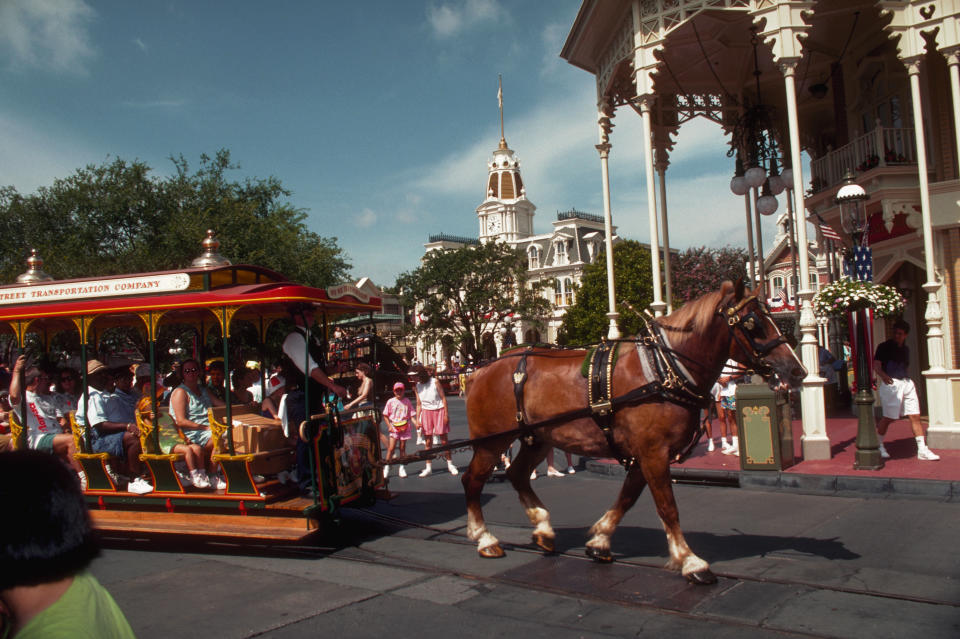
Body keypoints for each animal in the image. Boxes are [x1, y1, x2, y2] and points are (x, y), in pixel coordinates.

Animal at [462, 280, 808, 584]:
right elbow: (667, 507)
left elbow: (627, 498)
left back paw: (543, 530)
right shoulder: (653, 452)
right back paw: (485, 539)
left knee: (517, 474)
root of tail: (482, 368)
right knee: (473, 480)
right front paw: (691, 562)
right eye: (753, 324)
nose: (797, 370)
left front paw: (599, 541)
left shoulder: (645, 454)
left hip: (538, 439)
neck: (664, 369)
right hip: (492, 442)